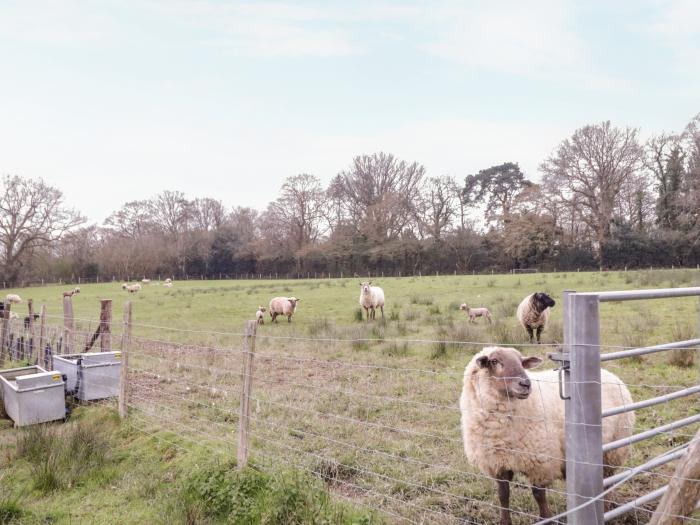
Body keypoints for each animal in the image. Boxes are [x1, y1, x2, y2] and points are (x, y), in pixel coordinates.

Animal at [460, 346, 636, 520]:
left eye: (521, 362)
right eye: (494, 361)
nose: (525, 384)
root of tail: (609, 373)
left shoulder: (540, 462)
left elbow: (538, 495)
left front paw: (546, 519)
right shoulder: (497, 462)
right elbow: (503, 495)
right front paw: (505, 521)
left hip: (613, 451)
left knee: (608, 480)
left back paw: (606, 509)